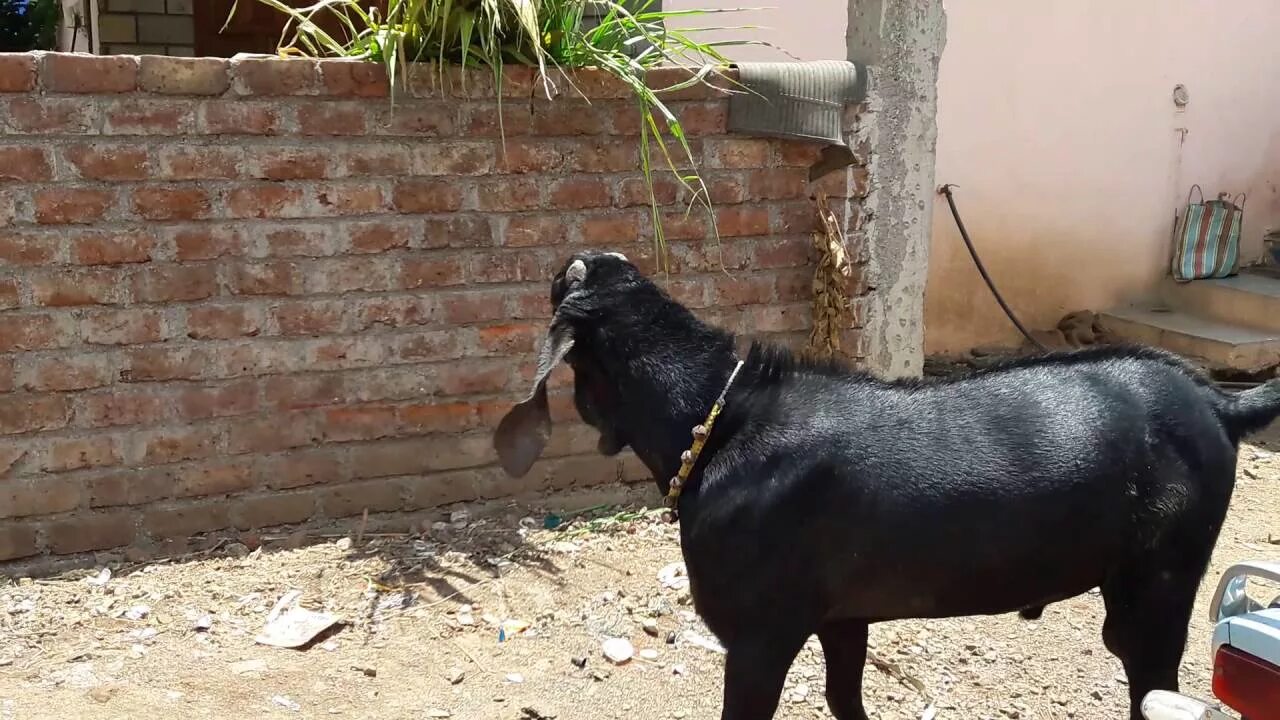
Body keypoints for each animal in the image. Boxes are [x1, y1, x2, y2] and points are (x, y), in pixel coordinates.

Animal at [491, 249, 1280, 712]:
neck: (720, 416)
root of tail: (1218, 402)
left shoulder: (759, 635)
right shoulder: (843, 618)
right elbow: (845, 696)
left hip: (1157, 587)